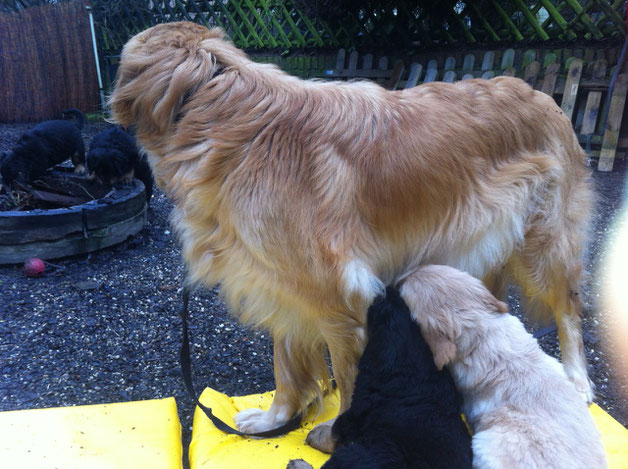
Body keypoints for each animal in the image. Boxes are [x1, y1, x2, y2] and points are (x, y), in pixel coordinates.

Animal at [110, 22, 596, 446]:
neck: (219, 100)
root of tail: (542, 95)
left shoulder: (340, 301)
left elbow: (348, 382)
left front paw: (335, 439)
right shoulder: (282, 284)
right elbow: (285, 366)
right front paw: (276, 420)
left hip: (544, 244)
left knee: (568, 309)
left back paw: (577, 379)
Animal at [290, 288, 472, 468]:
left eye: (381, 313)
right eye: (406, 309)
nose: (386, 290)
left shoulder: (357, 412)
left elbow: (337, 429)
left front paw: (317, 435)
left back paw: (298, 464)